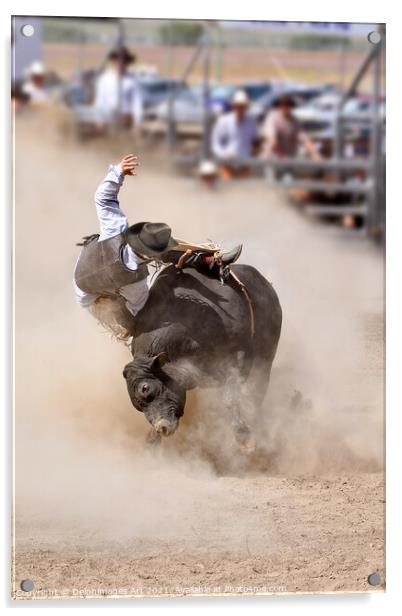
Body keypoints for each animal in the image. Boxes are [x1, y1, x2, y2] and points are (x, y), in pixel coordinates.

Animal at [122, 262, 282, 446]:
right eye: (138, 405)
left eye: (145, 388)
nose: (161, 428)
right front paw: (152, 439)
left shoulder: (239, 357)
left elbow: (230, 397)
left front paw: (244, 436)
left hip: (266, 356)